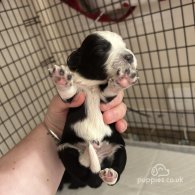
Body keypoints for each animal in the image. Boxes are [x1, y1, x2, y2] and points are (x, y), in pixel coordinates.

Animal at [48, 31, 137, 190]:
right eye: (101, 50)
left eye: (124, 46)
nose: (129, 56)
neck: (91, 84)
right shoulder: (73, 100)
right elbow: (68, 93)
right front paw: (61, 79)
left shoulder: (106, 98)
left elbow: (111, 90)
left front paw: (123, 79)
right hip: (65, 149)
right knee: (81, 167)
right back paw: (88, 154)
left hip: (120, 149)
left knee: (116, 170)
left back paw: (110, 175)